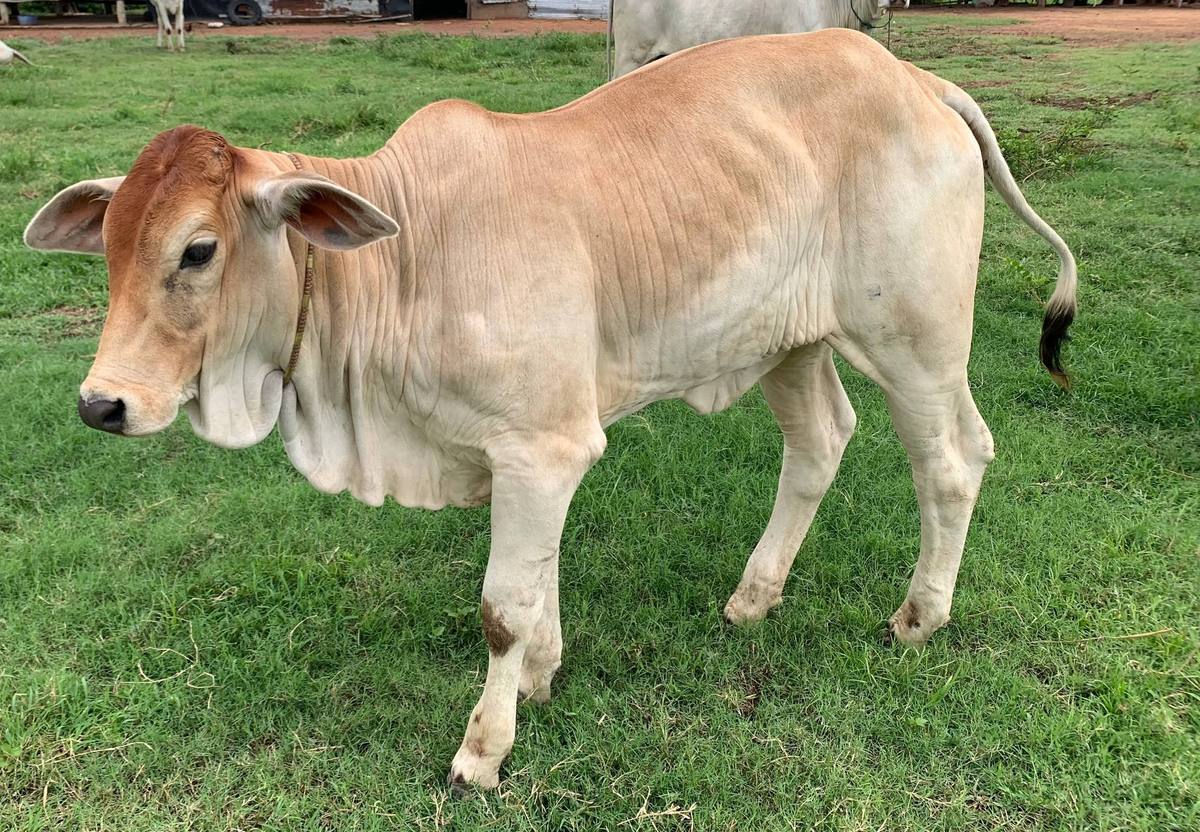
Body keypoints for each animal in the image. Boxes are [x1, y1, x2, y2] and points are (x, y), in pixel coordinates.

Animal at [24, 30, 1076, 791]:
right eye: (107, 248)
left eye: (198, 250)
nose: (102, 402)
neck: (402, 259)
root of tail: (914, 77)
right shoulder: (526, 452)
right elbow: (539, 580)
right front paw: (540, 673)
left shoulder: (543, 445)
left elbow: (502, 605)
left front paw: (484, 750)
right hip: (788, 341)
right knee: (820, 444)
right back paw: (754, 595)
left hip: (916, 339)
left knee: (953, 458)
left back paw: (919, 616)